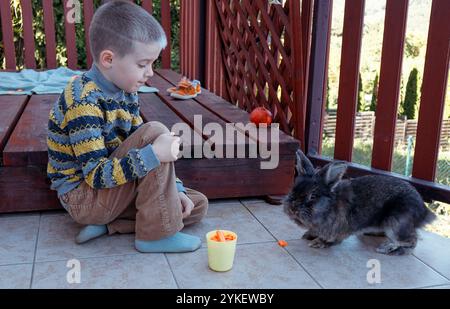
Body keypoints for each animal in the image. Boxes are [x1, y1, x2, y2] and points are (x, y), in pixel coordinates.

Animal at [284, 150, 436, 255]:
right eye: (293, 189)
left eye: (313, 196)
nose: (292, 208)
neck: (329, 206)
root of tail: (424, 211)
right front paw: (308, 235)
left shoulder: (338, 230)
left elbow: (332, 240)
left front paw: (318, 243)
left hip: (396, 223)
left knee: (411, 241)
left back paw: (388, 248)